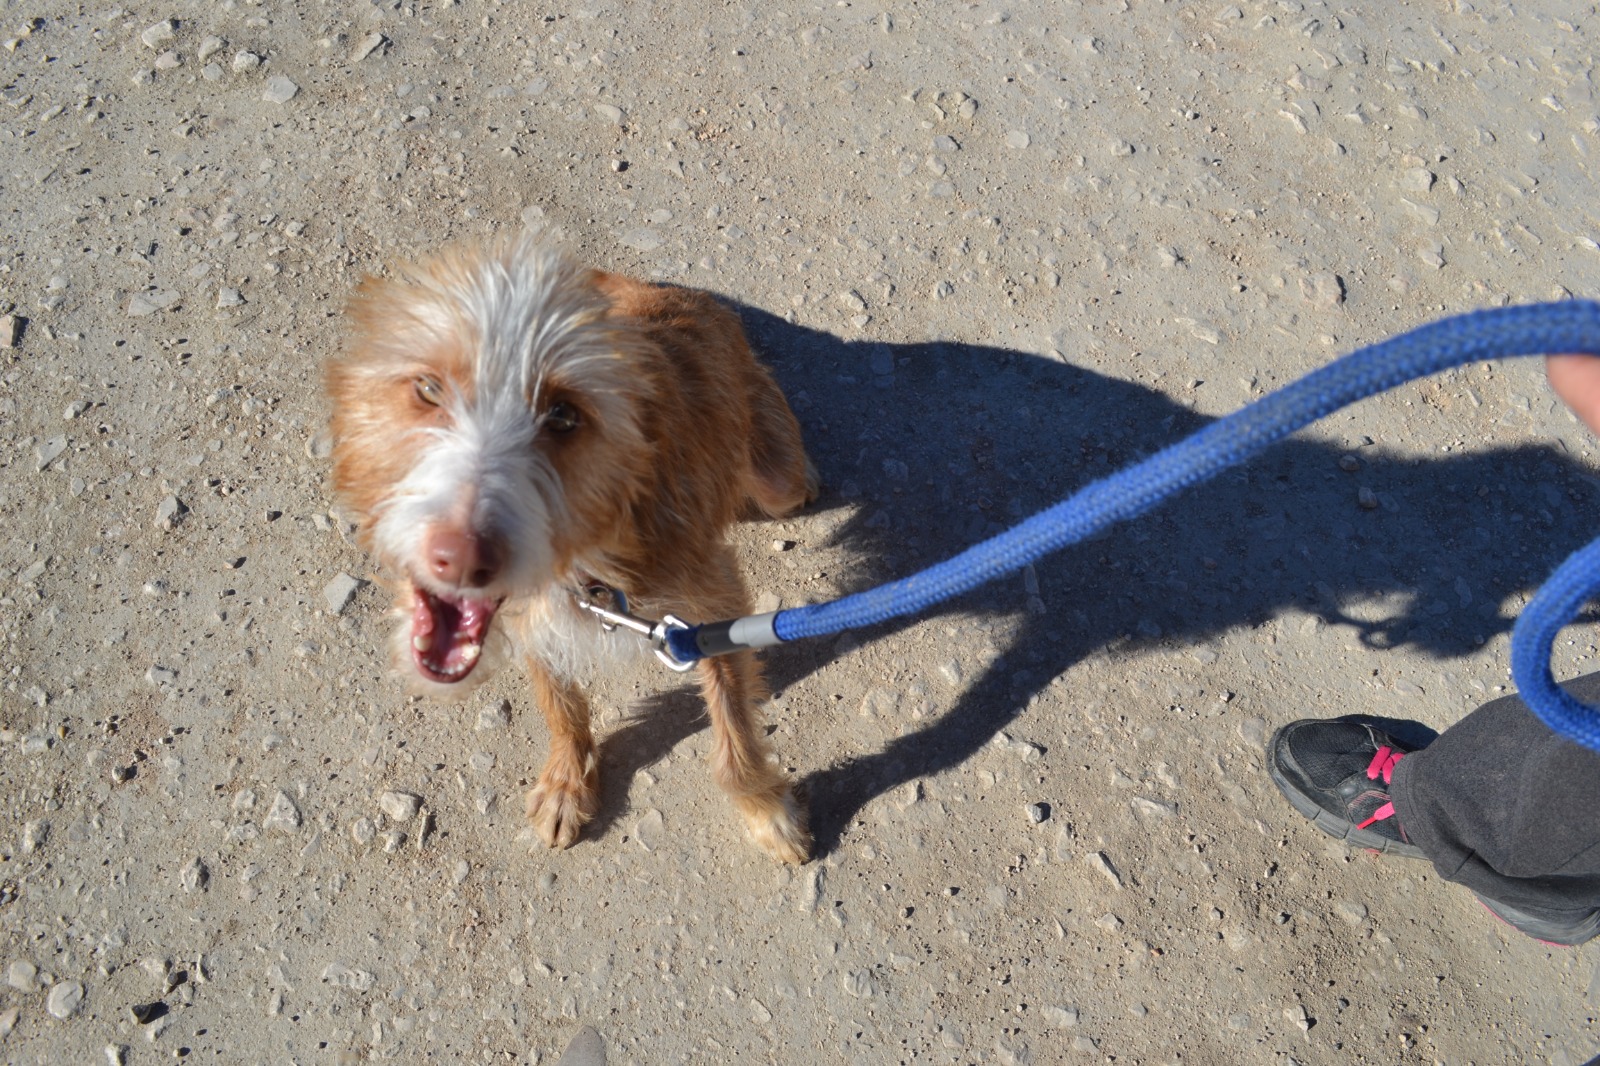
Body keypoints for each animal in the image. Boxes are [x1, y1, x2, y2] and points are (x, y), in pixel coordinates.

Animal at [326, 234, 817, 863]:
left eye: (563, 416)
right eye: (428, 390)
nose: (458, 555)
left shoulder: (713, 608)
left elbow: (734, 728)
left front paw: (764, 807)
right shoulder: (533, 616)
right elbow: (560, 706)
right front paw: (567, 781)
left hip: (780, 480)